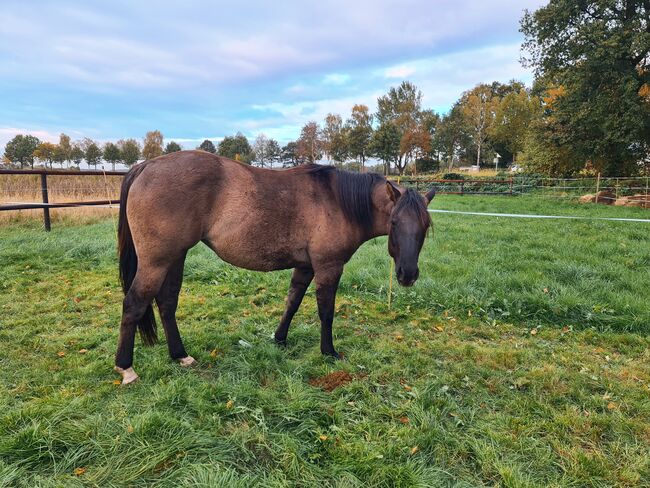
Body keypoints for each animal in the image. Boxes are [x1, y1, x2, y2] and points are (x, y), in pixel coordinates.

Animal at [115, 151, 436, 384]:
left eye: (425, 226)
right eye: (394, 222)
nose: (408, 275)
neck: (338, 201)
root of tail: (145, 166)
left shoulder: (305, 267)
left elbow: (292, 302)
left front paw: (279, 339)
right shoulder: (328, 267)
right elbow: (326, 312)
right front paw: (328, 352)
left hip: (175, 257)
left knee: (167, 302)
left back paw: (180, 355)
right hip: (157, 261)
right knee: (134, 303)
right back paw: (126, 368)